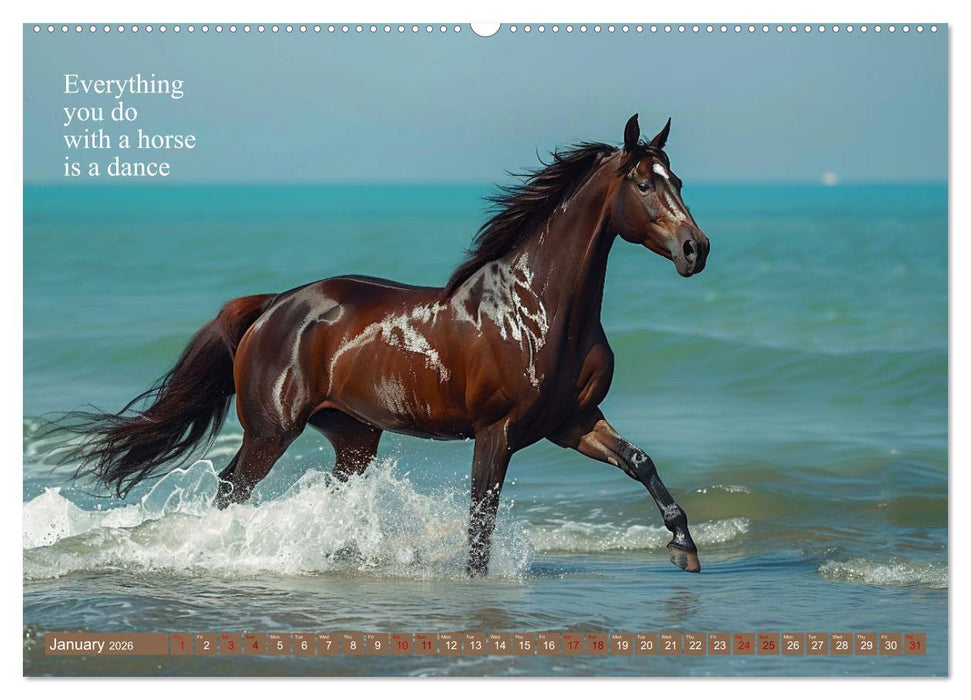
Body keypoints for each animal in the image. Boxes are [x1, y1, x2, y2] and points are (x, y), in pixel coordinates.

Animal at [58, 114, 710, 575]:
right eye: (645, 183)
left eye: (678, 181)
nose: (695, 249)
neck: (538, 310)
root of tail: (272, 305)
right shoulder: (496, 432)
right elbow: (480, 522)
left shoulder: (572, 420)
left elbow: (641, 463)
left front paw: (684, 545)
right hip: (270, 432)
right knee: (229, 489)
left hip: (354, 438)